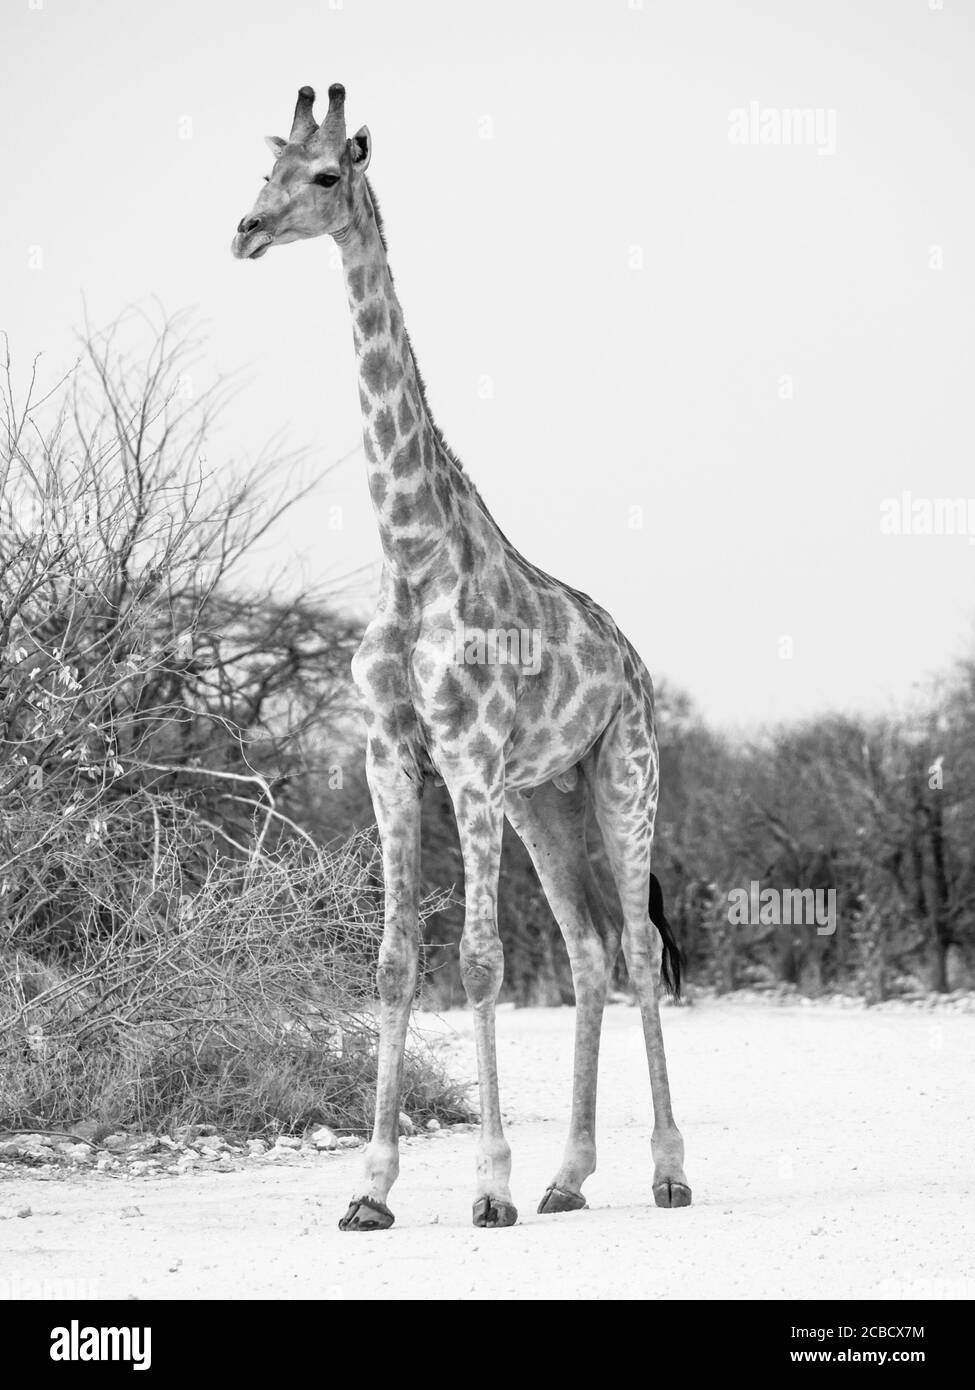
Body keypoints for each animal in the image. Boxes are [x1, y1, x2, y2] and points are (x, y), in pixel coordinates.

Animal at [230, 81, 687, 1228]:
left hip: (623, 775)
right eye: (263, 169)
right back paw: (569, 1177)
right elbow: (397, 960)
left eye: (325, 175)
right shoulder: (391, 757)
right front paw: (371, 1190)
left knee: (640, 945)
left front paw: (486, 1185)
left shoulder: (468, 758)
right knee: (587, 947)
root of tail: (635, 660)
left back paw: (667, 1171)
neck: (412, 552)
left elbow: (478, 959)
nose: (245, 230)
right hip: (546, 797)